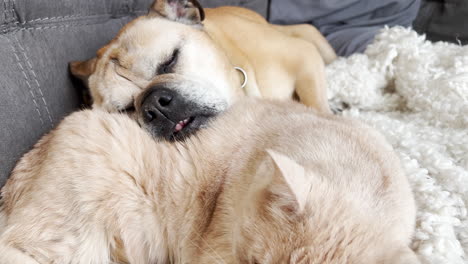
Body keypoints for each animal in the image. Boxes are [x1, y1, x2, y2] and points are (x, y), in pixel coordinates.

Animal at [69, 0, 334, 140]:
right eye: (125, 109)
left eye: (170, 59)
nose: (155, 104)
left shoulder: (304, 56)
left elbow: (317, 108)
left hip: (311, 37)